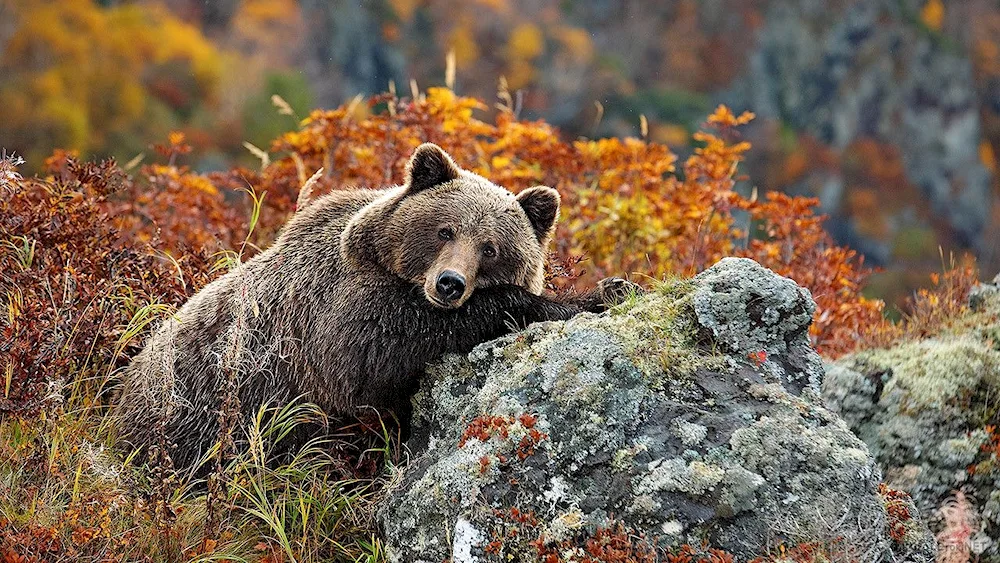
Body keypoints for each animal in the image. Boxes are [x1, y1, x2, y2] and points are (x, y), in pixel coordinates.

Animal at [113, 143, 636, 470]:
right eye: (445, 230)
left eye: (490, 248)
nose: (449, 283)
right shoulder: (332, 319)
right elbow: (373, 354)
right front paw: (583, 297)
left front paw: (611, 286)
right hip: (196, 417)